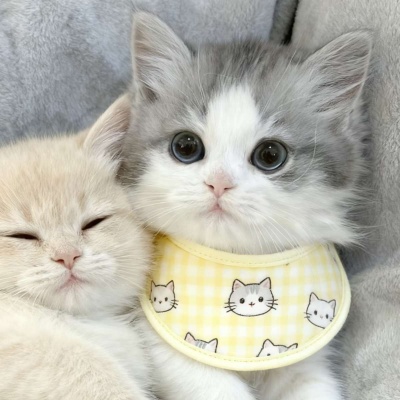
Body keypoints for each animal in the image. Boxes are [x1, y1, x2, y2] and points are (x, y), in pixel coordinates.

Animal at [121, 12, 371, 400]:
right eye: (186, 146)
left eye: (270, 155)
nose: (219, 183)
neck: (239, 259)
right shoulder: (164, 345)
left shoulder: (306, 358)